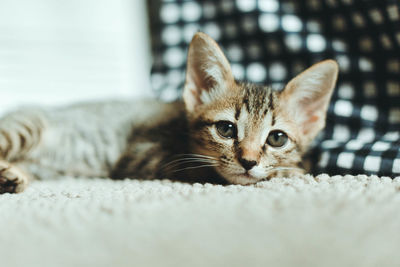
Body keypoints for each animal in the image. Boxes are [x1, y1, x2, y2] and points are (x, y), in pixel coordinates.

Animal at [0, 33, 338, 195]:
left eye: (277, 138)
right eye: (226, 129)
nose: (249, 161)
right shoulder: (143, 155)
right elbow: (211, 173)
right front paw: (291, 172)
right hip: (27, 125)